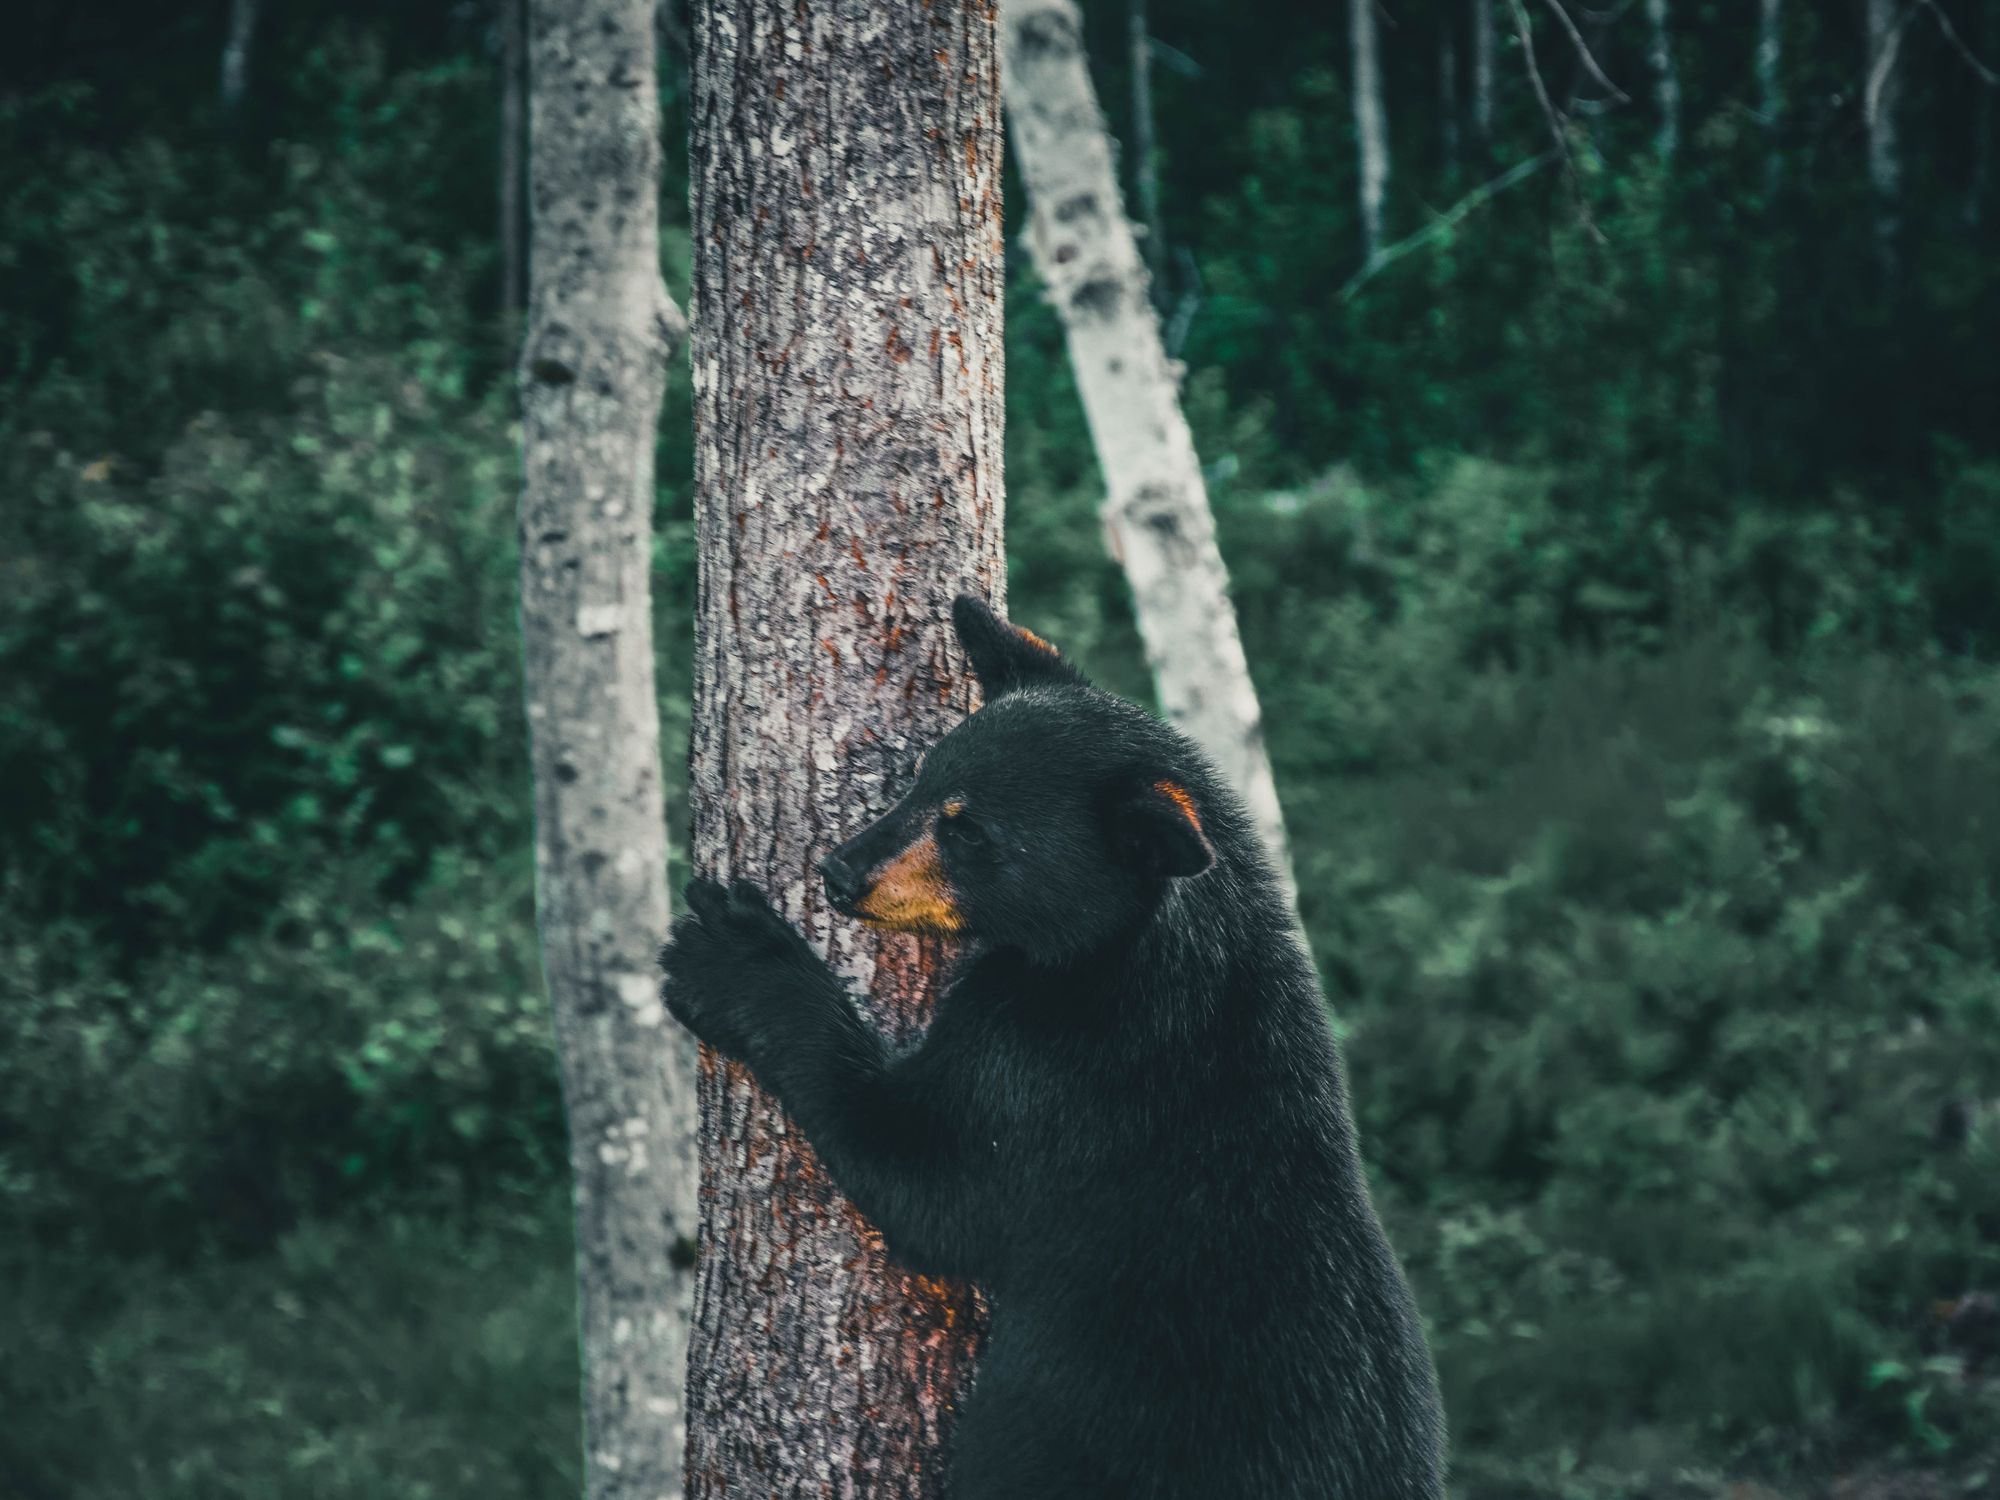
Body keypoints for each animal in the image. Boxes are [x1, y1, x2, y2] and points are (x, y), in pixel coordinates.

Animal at [664, 600, 1448, 1500]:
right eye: (921, 779)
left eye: (971, 833)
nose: (839, 872)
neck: (1128, 948)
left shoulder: (1065, 1078)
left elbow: (931, 1180)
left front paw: (729, 955)